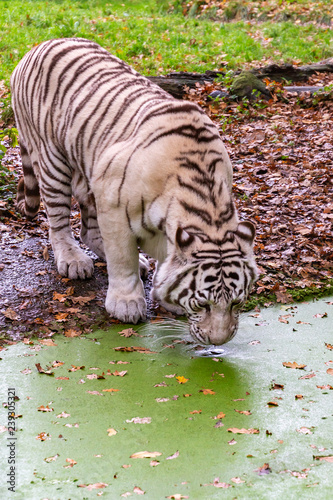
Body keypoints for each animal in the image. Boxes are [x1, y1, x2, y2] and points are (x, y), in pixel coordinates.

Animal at [10, 38, 255, 344]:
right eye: (202, 304)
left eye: (237, 302)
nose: (218, 340)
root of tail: (39, 45)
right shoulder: (113, 205)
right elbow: (121, 257)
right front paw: (126, 304)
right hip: (54, 161)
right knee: (58, 222)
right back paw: (73, 259)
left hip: (90, 168)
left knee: (89, 230)